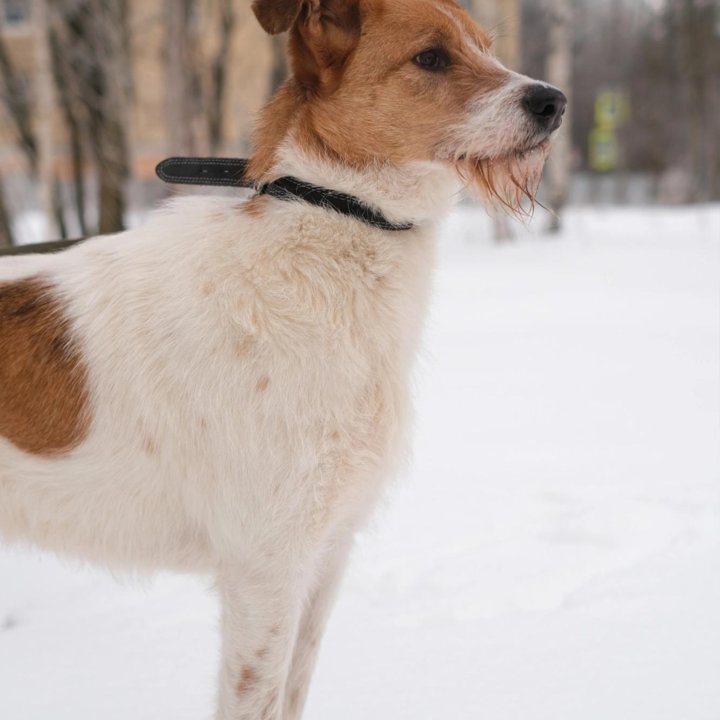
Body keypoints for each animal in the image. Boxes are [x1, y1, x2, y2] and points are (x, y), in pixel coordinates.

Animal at [0, 2, 564, 716]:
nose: (554, 101)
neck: (332, 226)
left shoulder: (326, 554)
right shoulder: (265, 569)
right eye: (431, 57)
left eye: (487, 47)